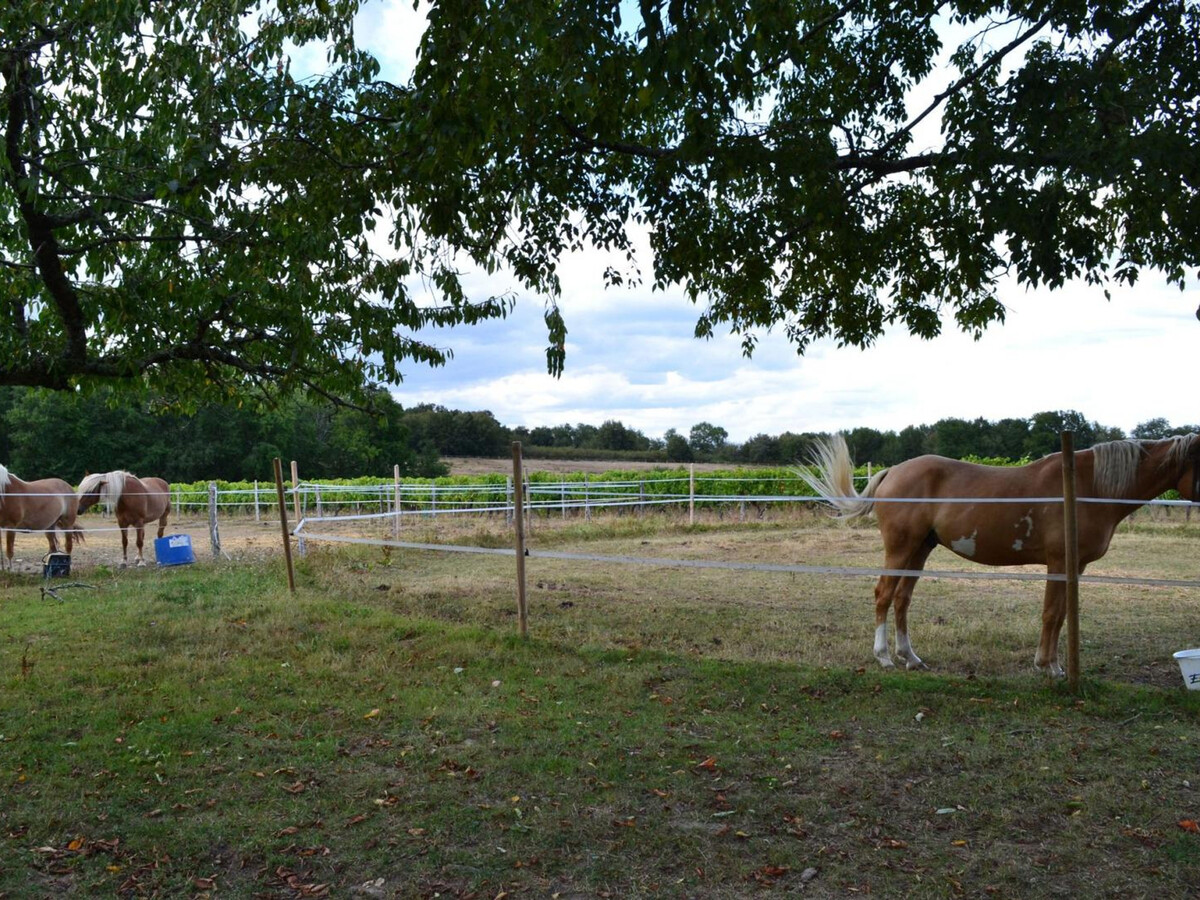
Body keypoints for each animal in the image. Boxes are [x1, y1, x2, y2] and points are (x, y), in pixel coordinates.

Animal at [798, 433, 1200, 676]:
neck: (1087, 486)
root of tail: (894, 471)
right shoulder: (1059, 563)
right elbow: (1051, 614)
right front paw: (1049, 667)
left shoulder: (1075, 567)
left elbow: (1062, 615)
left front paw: (1052, 665)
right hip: (900, 548)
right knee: (883, 595)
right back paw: (883, 658)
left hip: (920, 550)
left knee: (902, 600)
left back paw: (910, 657)